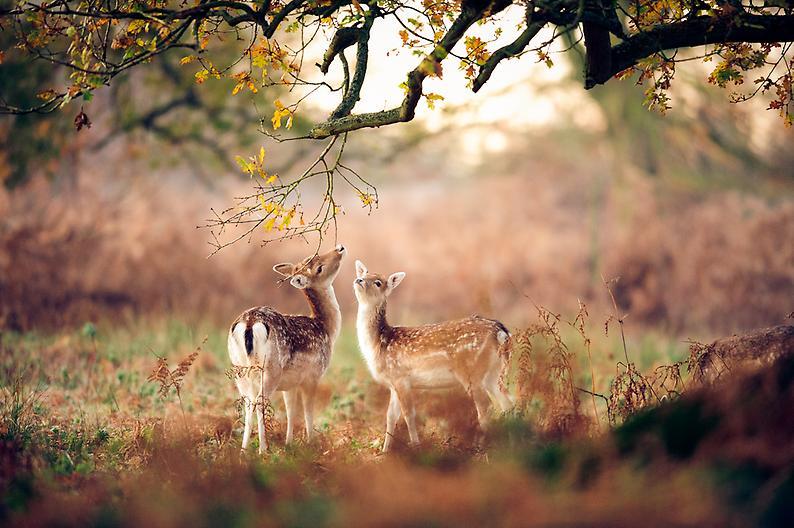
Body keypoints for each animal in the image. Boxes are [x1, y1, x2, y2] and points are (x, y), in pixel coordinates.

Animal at [226, 244, 344, 454]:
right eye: (319, 268)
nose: (339, 248)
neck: (326, 329)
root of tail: (249, 323)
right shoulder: (313, 375)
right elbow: (308, 410)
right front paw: (311, 443)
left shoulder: (290, 384)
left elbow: (290, 410)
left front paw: (289, 444)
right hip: (270, 368)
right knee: (259, 402)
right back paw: (263, 449)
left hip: (240, 369)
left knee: (248, 402)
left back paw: (244, 450)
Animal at [352, 260, 512, 450]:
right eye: (364, 273)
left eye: (377, 282)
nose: (359, 280)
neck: (379, 343)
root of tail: (501, 332)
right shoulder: (393, 383)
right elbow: (390, 416)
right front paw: (385, 451)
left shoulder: (401, 377)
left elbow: (409, 414)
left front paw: (415, 446)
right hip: (493, 372)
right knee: (507, 401)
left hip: (471, 371)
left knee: (486, 407)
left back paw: (480, 446)